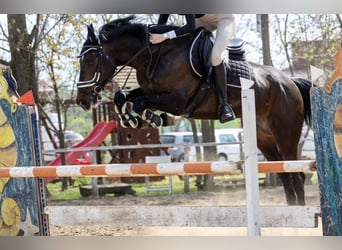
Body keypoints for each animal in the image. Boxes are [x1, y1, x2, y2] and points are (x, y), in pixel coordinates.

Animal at [76, 15, 314, 205]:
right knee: (286, 177)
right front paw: (131, 120)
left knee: (297, 176)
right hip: (264, 139)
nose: (81, 101)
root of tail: (290, 82)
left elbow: (140, 102)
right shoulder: (151, 91)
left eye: (90, 59)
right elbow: (123, 97)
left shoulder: (178, 101)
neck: (155, 56)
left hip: (285, 136)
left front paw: (154, 118)